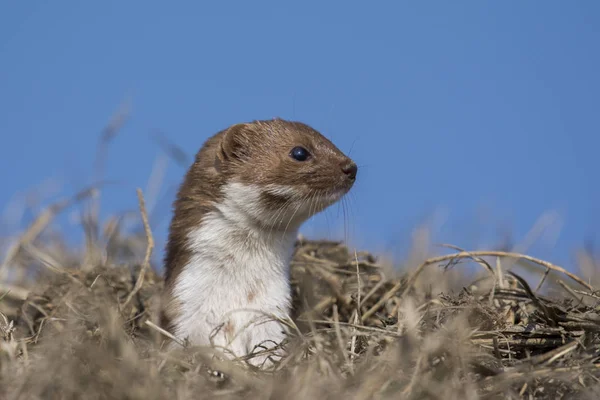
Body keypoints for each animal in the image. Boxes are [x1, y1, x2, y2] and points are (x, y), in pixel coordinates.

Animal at [159, 118, 356, 366]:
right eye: (300, 152)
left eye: (328, 140)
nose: (351, 167)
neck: (239, 292)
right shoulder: (184, 306)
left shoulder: (271, 314)